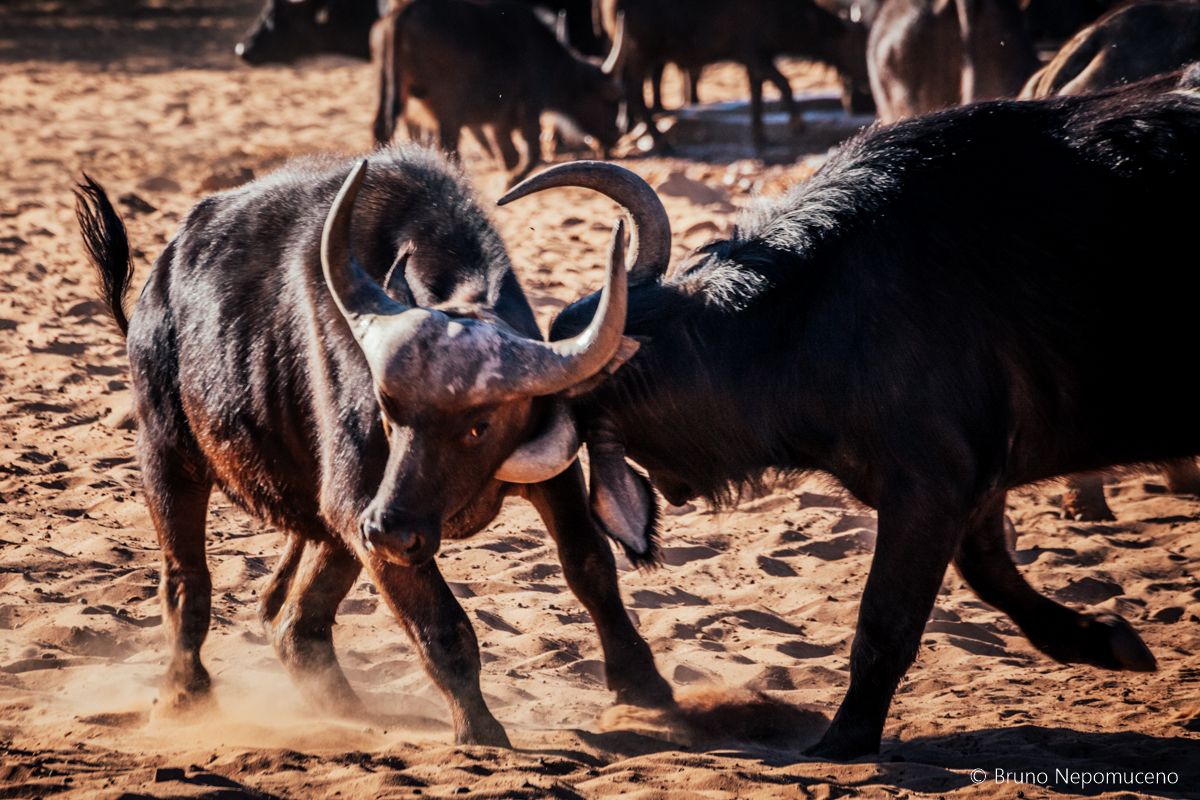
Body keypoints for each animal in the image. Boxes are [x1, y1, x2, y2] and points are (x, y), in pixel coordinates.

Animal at [75, 146, 676, 748]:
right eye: (387, 414)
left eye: (478, 426)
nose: (388, 530)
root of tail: (157, 288)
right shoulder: (361, 501)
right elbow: (443, 626)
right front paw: (480, 732)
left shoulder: (549, 477)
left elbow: (591, 568)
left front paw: (647, 693)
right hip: (168, 455)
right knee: (187, 583)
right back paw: (184, 699)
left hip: (328, 526)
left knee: (293, 619)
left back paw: (348, 711)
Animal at [496, 67, 1200, 758]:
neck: (807, 320)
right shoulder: (969, 478)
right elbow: (989, 573)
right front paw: (1105, 640)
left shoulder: (929, 483)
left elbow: (884, 622)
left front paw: (842, 740)